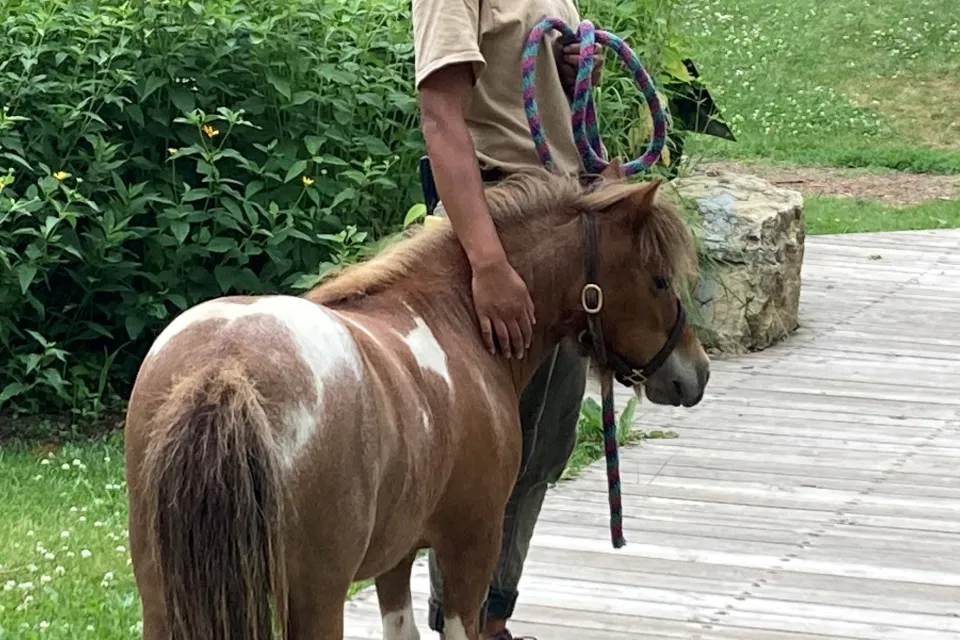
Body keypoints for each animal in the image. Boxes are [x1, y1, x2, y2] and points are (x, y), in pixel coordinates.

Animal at [123, 160, 711, 640]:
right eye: (659, 279)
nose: (696, 373)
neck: (459, 318)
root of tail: (225, 368)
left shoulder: (398, 553)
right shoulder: (471, 544)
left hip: (161, 597)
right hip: (315, 601)